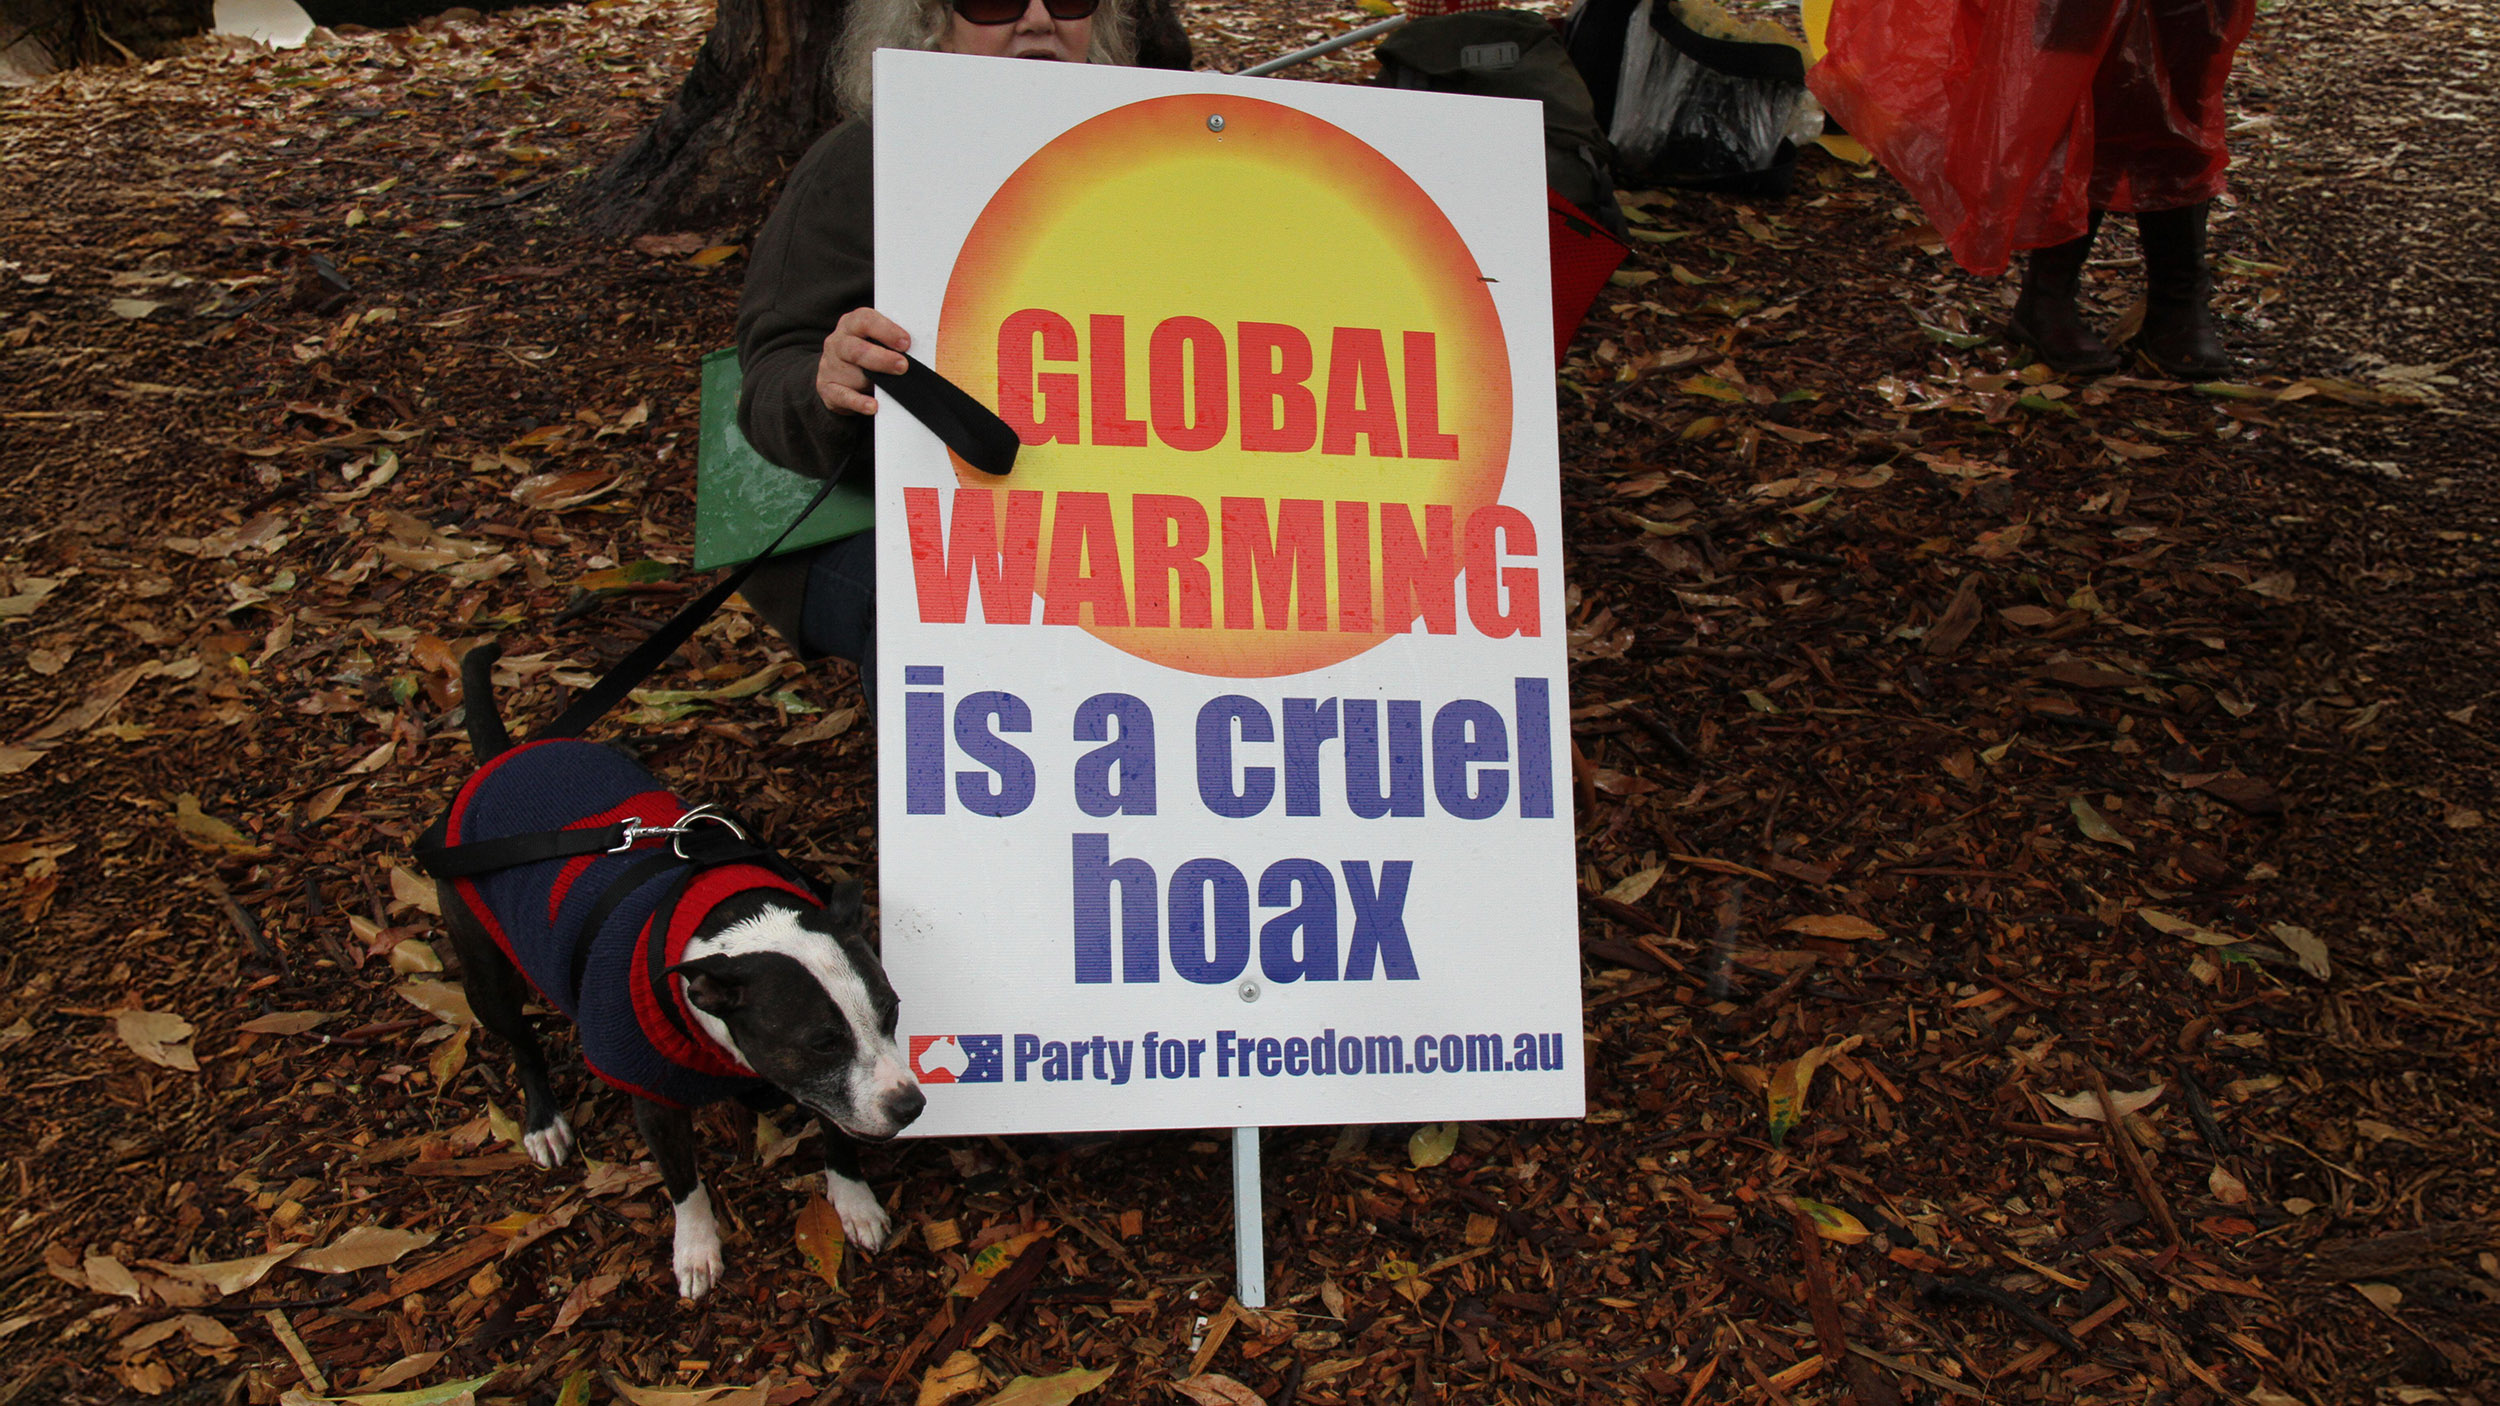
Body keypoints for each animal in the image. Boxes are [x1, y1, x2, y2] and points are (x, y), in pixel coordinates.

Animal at [425, 645, 925, 1290]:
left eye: (892, 1012)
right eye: (822, 1042)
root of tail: (502, 759)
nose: (910, 1105)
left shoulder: (830, 1095)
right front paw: (694, 1247)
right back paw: (543, 1120)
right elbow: (683, 1182)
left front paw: (854, 1199)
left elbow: (840, 1134)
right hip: (485, 975)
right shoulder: (654, 1101)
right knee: (521, 1042)